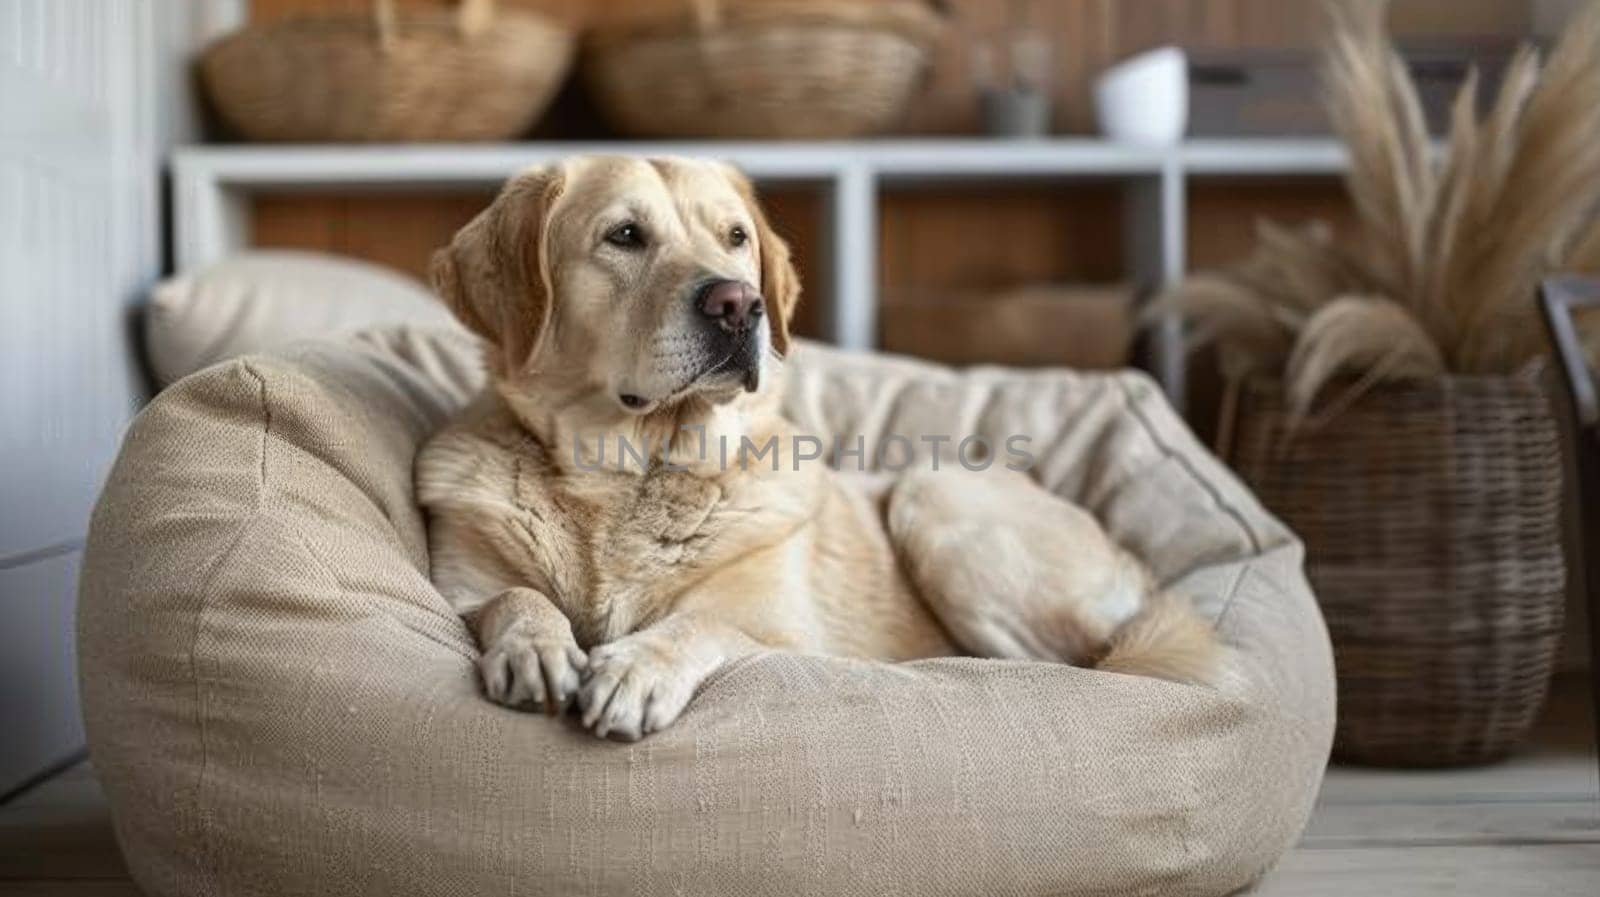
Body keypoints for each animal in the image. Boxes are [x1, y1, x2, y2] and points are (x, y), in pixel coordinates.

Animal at [416, 157, 1222, 738]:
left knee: (1081, 667)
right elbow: (512, 596)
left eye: (736, 237)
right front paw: (536, 646)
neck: (625, 476)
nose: (739, 303)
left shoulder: (782, 631)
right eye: (624, 236)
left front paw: (637, 666)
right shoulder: (463, 585)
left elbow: (706, 620)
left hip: (938, 492)